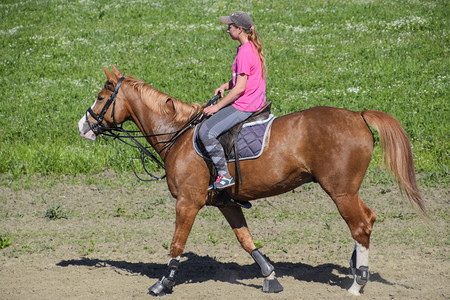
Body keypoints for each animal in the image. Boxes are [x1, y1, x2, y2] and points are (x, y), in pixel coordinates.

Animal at [77, 65, 426, 296]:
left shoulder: (188, 202)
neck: (178, 134)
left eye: (101, 97)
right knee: (368, 219)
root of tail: (357, 115)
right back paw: (355, 267)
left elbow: (176, 243)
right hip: (347, 191)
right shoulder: (226, 203)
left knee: (361, 225)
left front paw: (163, 283)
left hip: (340, 191)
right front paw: (270, 277)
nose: (83, 126)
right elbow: (246, 240)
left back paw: (357, 283)